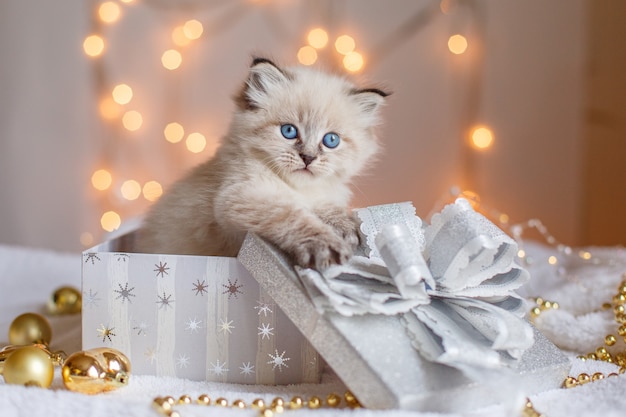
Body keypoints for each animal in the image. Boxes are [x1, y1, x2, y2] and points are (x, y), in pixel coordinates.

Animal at [136, 57, 386, 268]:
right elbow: (293, 216)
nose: (308, 158)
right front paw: (326, 246)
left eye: (331, 140)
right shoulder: (243, 197)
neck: (298, 190)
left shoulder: (322, 196)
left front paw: (345, 227)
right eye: (288, 131)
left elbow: (328, 208)